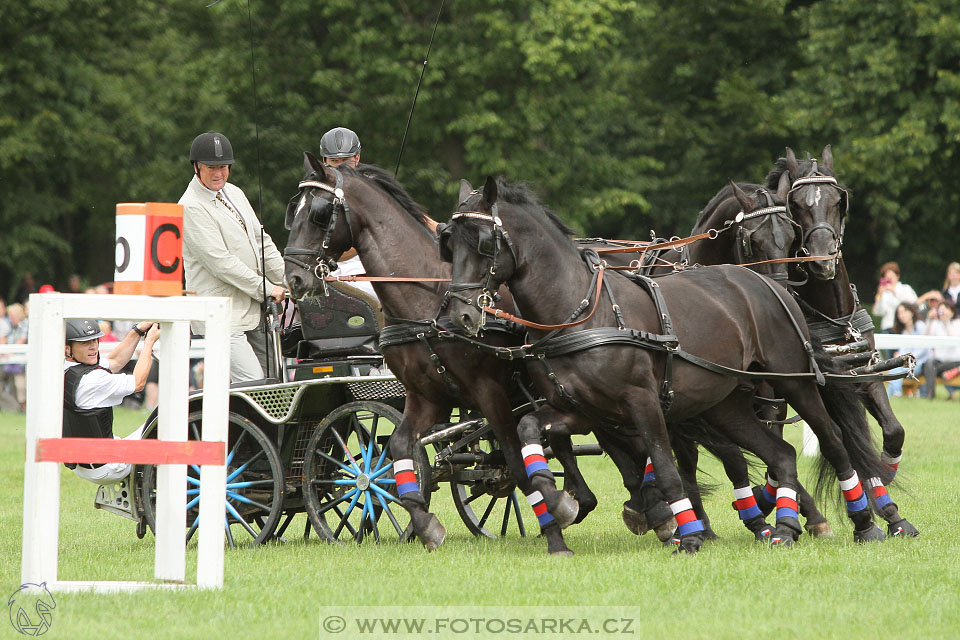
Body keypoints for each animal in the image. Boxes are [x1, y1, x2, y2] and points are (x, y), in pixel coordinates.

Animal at [444, 178, 892, 552]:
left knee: (832, 440)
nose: (459, 313)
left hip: (791, 382)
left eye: (482, 243)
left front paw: (688, 533)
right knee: (780, 453)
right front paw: (556, 503)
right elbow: (530, 433)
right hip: (725, 404)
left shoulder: (642, 403)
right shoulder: (583, 411)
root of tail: (767, 286)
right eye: (448, 243)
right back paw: (784, 527)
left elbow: (665, 465)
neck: (582, 310)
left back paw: (866, 524)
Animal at [768, 148, 920, 536]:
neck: (830, 314)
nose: (822, 260)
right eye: (796, 205)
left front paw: (888, 491)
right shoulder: (821, 386)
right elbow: (841, 439)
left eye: (839, 201)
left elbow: (889, 432)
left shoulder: (864, 372)